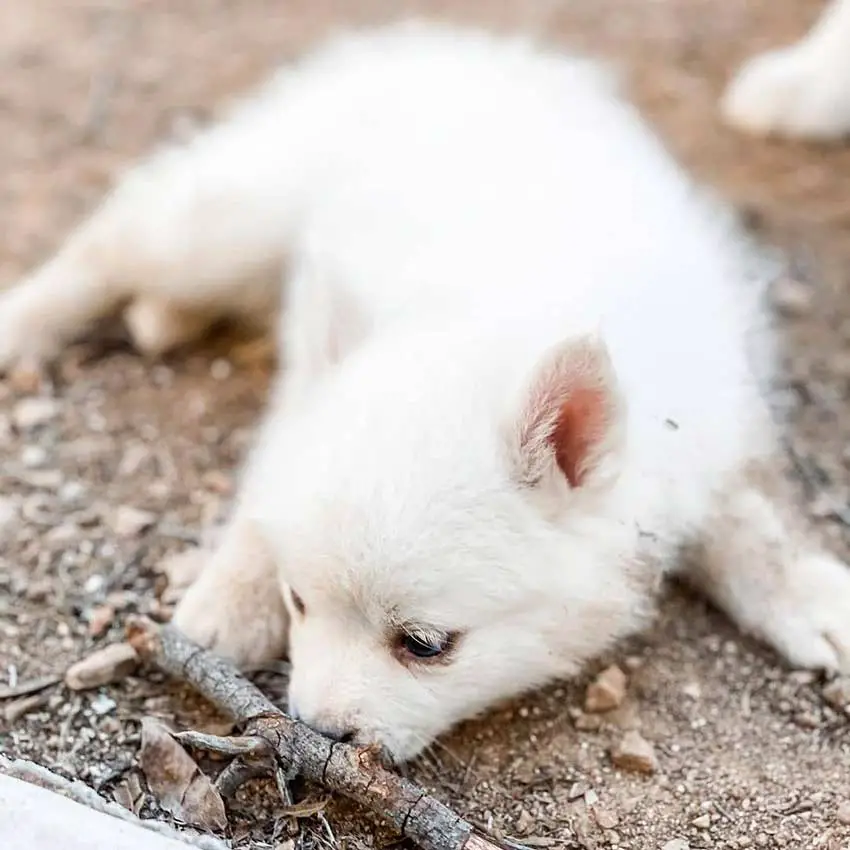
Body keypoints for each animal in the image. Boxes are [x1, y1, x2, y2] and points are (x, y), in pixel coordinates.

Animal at [4, 23, 848, 760]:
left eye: (424, 646)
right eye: (298, 602)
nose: (317, 734)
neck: (504, 303)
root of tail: (450, 45)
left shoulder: (711, 415)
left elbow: (755, 519)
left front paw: (809, 594)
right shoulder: (306, 386)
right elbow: (266, 482)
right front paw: (231, 597)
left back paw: (160, 318)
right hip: (226, 222)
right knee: (111, 241)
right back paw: (26, 323)